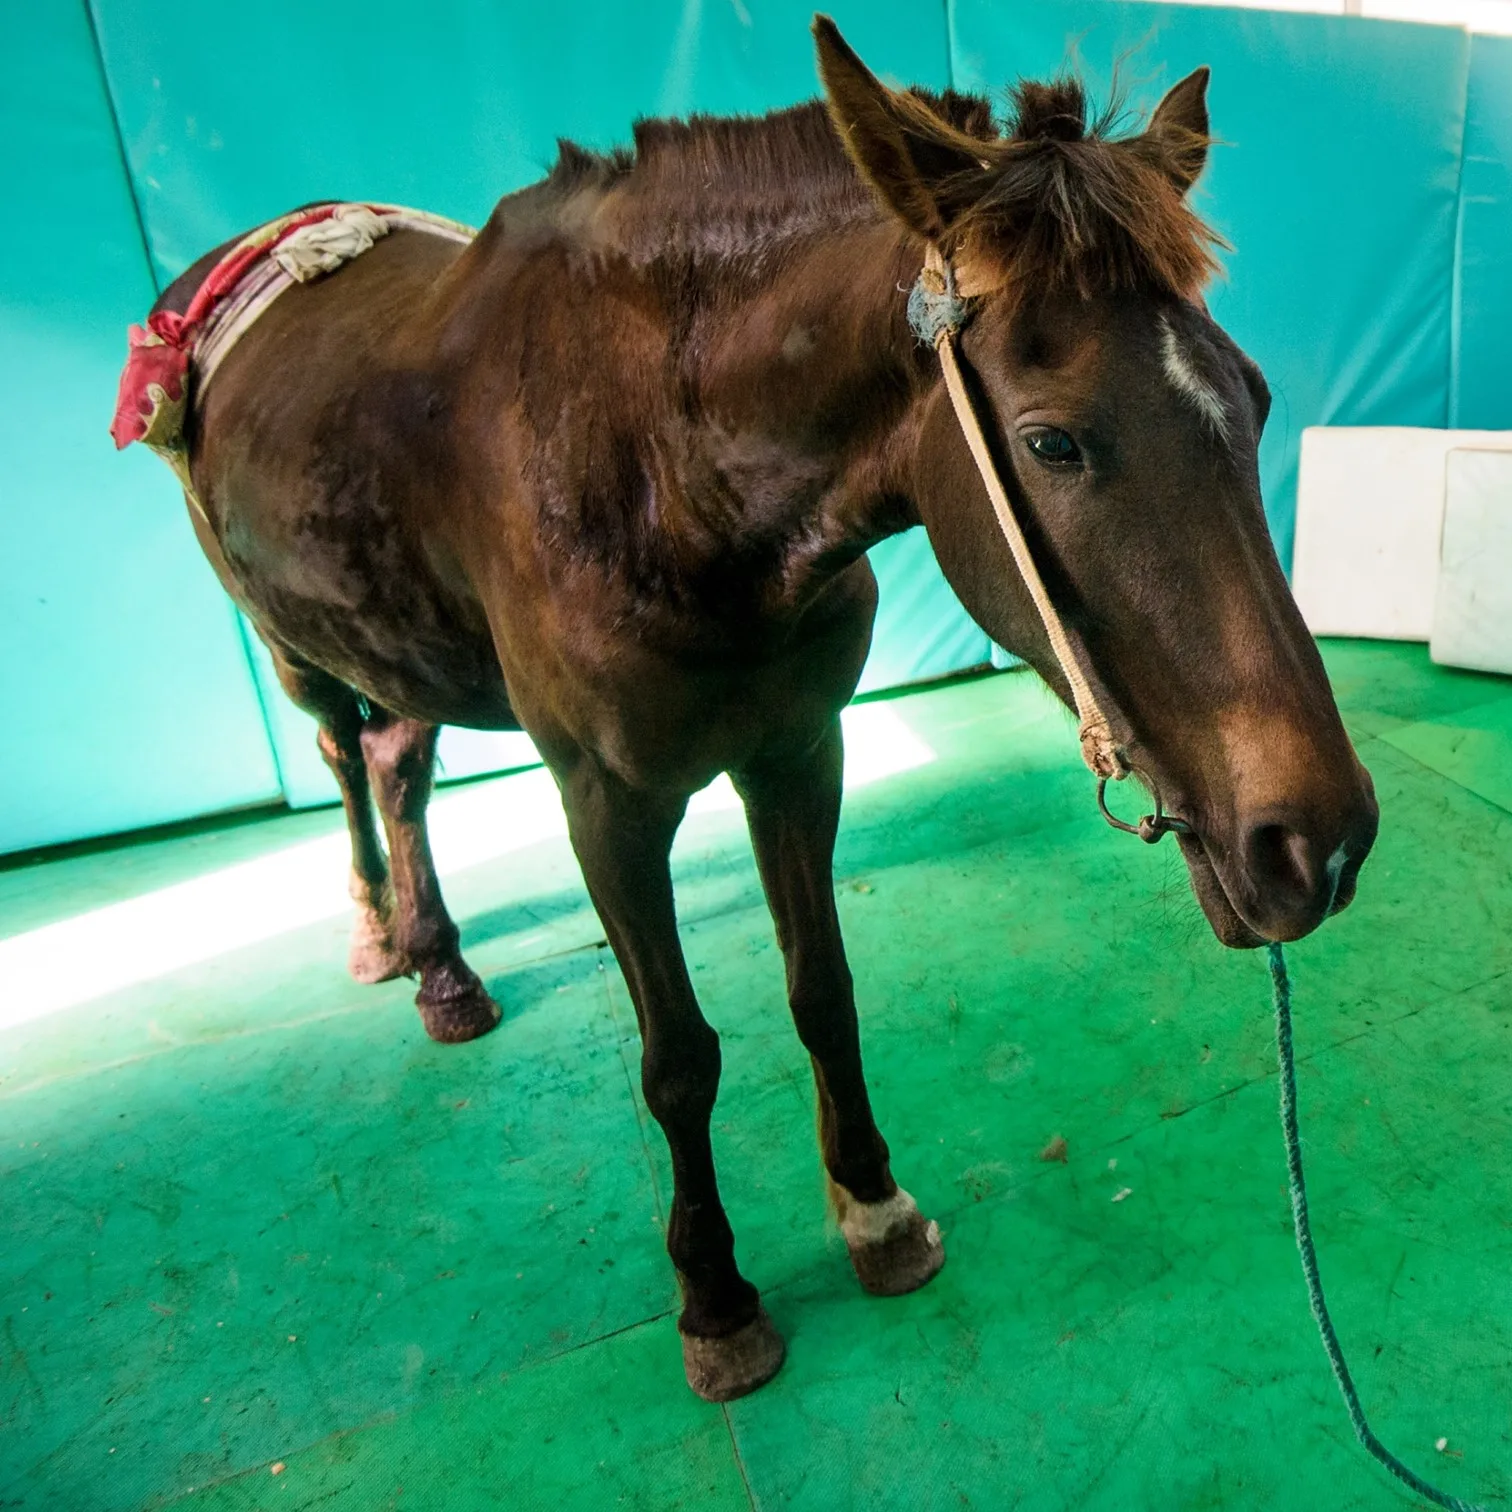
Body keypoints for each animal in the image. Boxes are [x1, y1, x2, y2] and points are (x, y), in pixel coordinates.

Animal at [117, 18, 1378, 1401]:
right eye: (1054, 444)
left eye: (1256, 398)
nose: (1321, 840)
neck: (654, 464)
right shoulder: (606, 804)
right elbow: (679, 1061)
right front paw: (714, 1295)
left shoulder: (798, 751)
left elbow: (821, 987)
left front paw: (873, 1207)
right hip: (293, 637)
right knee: (348, 757)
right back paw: (380, 932)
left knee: (399, 762)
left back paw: (440, 963)